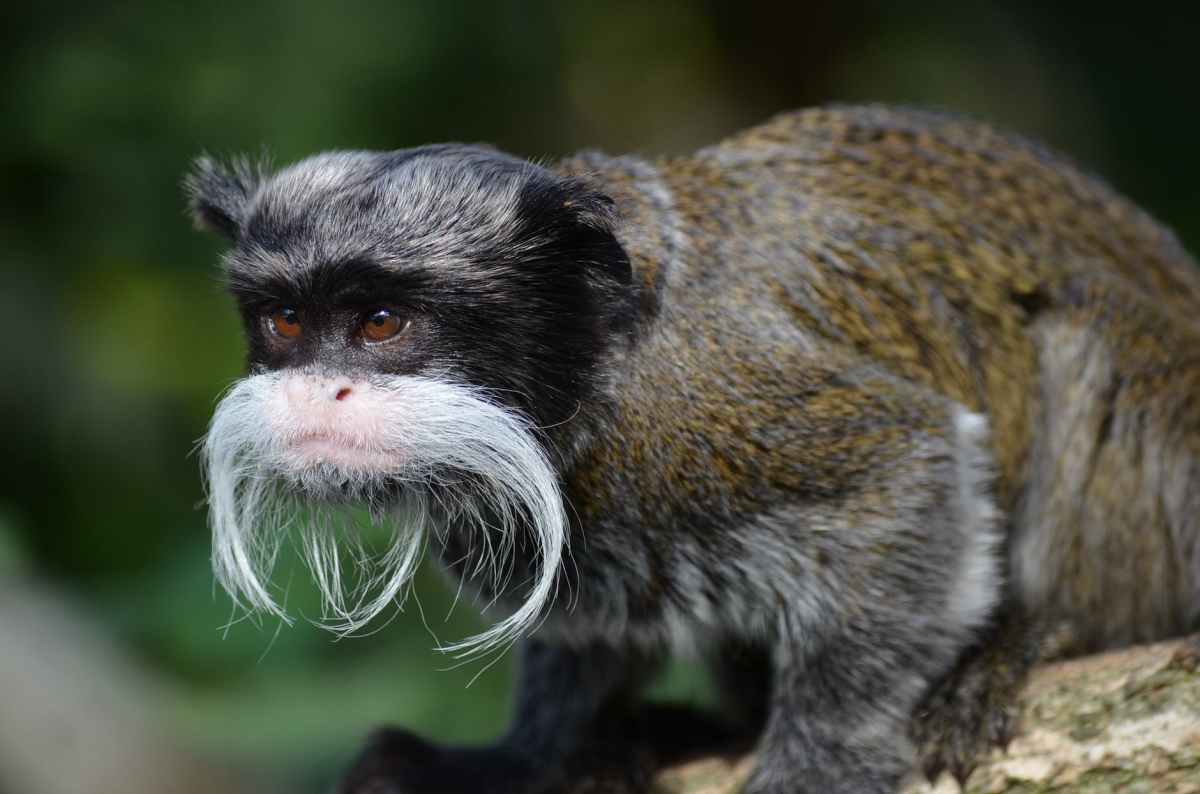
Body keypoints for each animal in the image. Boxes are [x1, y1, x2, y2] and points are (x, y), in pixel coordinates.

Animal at [186, 105, 1200, 794]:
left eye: (381, 322)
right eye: (286, 322)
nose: (317, 392)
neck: (594, 364)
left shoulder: (712, 404)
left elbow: (909, 467)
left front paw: (817, 767)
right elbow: (582, 647)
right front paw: (525, 759)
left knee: (1084, 329)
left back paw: (1032, 638)